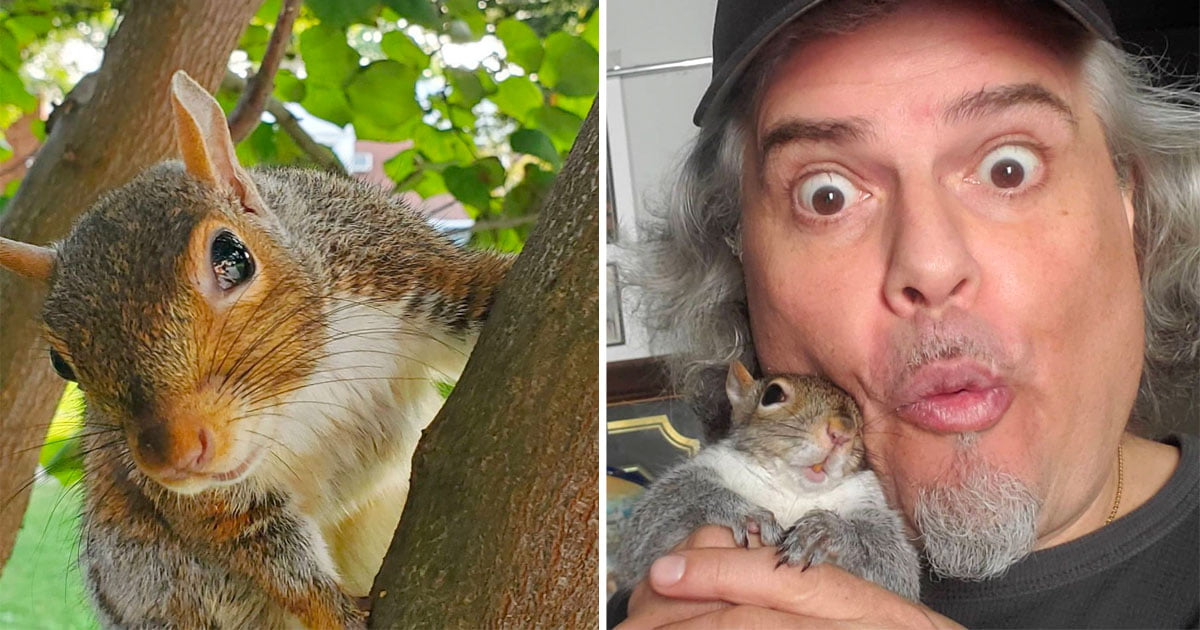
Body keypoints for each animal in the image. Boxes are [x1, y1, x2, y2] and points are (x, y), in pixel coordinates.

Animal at [0, 71, 512, 628]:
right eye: (60, 363)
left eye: (232, 257)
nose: (173, 456)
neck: (301, 393)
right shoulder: (218, 506)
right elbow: (268, 555)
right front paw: (338, 614)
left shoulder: (393, 257)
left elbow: (479, 289)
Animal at [615, 360, 921, 601]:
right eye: (772, 394)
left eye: (859, 416)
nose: (842, 432)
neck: (791, 490)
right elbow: (646, 531)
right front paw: (739, 509)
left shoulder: (868, 500)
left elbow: (896, 570)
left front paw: (826, 531)